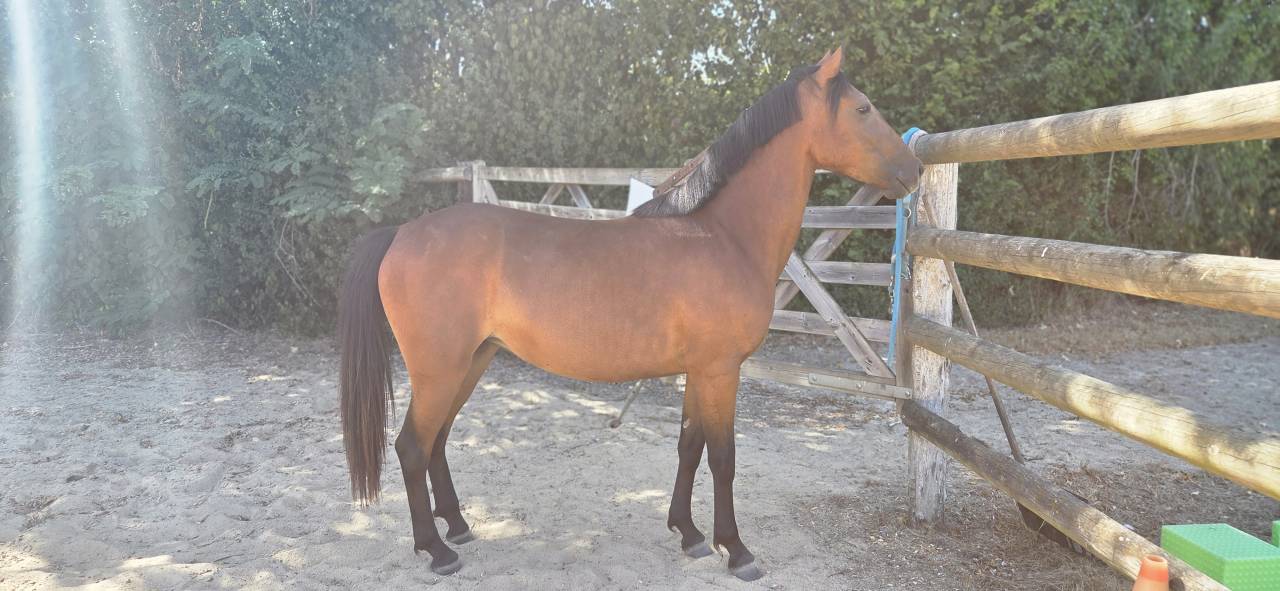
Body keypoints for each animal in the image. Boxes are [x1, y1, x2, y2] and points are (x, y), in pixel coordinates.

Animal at [337, 47, 921, 581]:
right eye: (863, 108)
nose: (914, 168)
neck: (724, 237)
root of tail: (402, 233)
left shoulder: (698, 372)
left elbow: (688, 447)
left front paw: (689, 534)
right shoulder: (720, 371)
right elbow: (723, 457)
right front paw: (737, 550)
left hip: (472, 362)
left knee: (437, 440)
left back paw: (457, 526)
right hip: (440, 369)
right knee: (412, 446)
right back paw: (436, 550)